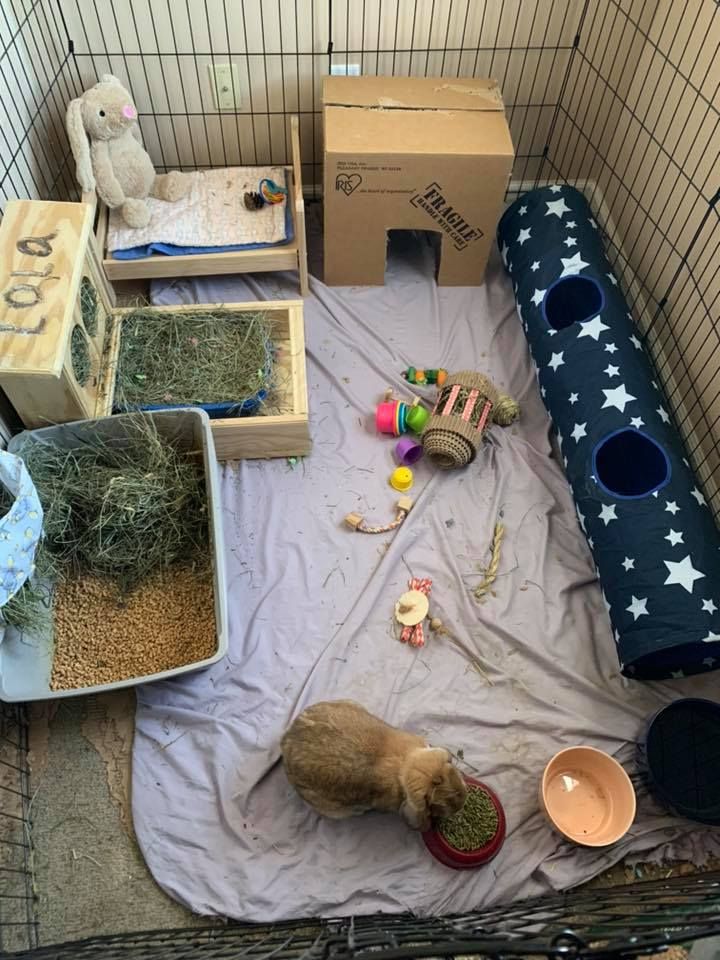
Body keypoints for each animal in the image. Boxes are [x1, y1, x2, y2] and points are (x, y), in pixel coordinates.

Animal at [66, 75, 188, 229]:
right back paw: (136, 212)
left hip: (152, 178)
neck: (118, 137)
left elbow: (136, 136)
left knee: (161, 183)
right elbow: (104, 176)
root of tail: (145, 194)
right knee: (126, 204)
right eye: (101, 113)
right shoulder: (100, 150)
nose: (128, 111)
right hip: (129, 197)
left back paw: (174, 184)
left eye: (122, 94)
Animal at [282, 696, 466, 832]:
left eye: (451, 768)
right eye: (436, 804)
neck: (406, 764)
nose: (462, 802)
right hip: (333, 809)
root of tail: (287, 738)